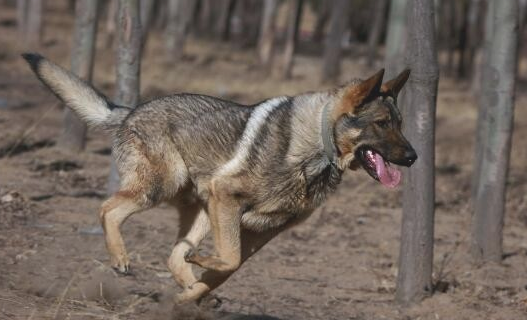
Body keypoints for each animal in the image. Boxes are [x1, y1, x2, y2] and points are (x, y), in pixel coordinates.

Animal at [21, 53, 416, 304]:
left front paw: (189, 297)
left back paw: (189, 290)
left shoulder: (261, 231)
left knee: (174, 255)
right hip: (163, 189)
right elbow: (227, 260)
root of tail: (132, 110)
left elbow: (229, 266)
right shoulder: (229, 200)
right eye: (382, 124)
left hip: (201, 211)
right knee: (108, 209)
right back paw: (121, 258)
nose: (414, 157)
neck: (317, 147)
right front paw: (195, 284)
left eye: (400, 124)